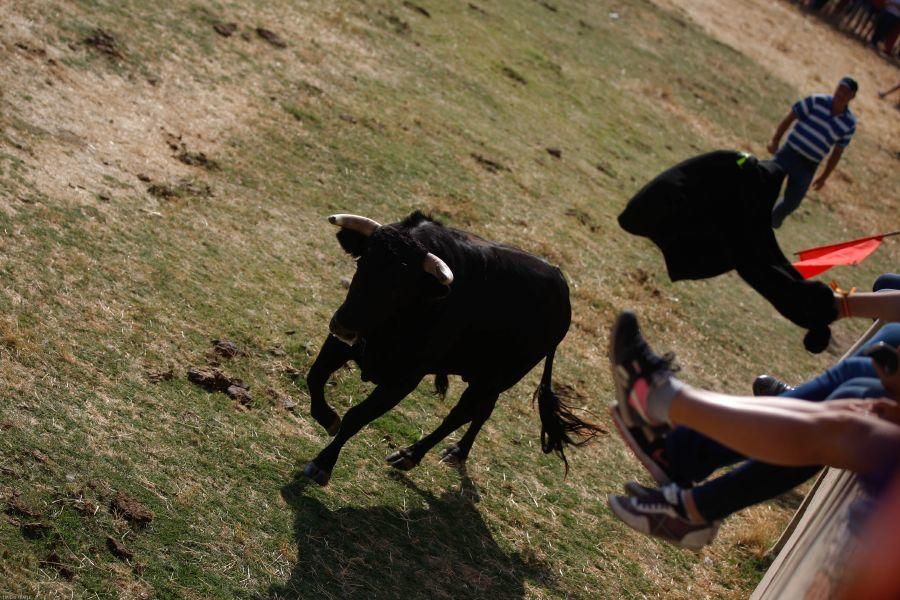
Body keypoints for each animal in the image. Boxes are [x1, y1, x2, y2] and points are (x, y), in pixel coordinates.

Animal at [298, 213, 600, 486]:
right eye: (362, 262)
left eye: (400, 287)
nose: (344, 325)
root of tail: (562, 287)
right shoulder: (343, 344)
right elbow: (315, 377)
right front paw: (328, 419)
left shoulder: (403, 379)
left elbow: (356, 416)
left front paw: (323, 464)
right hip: (487, 377)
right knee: (483, 410)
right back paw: (458, 451)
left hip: (498, 377)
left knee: (463, 412)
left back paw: (411, 455)